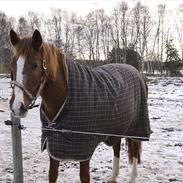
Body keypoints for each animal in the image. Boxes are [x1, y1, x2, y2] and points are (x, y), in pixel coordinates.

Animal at [8, 29, 150, 182]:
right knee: (116, 147)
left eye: (35, 65)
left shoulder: (84, 147)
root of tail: (137, 73)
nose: (17, 107)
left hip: (136, 128)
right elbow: (52, 175)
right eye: (12, 64)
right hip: (117, 126)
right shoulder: (53, 145)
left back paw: (132, 177)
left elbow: (84, 177)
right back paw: (113, 177)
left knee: (135, 151)